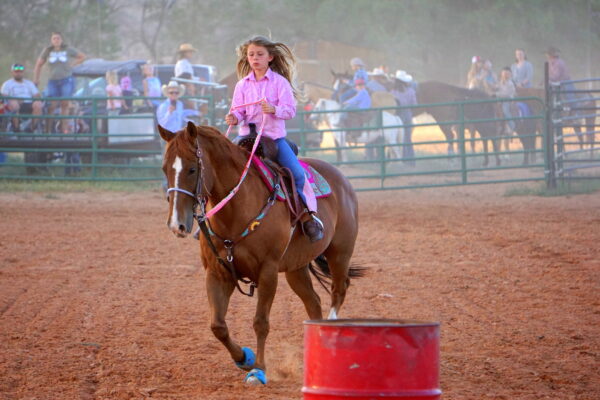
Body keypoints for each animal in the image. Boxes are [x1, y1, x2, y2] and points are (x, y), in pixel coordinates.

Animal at [159, 121, 364, 384]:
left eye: (193, 169)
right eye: (165, 169)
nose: (177, 224)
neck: (236, 211)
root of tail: (341, 180)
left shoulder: (268, 272)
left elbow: (261, 322)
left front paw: (258, 369)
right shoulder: (217, 272)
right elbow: (218, 326)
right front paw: (244, 358)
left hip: (340, 252)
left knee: (338, 291)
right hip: (296, 268)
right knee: (314, 302)